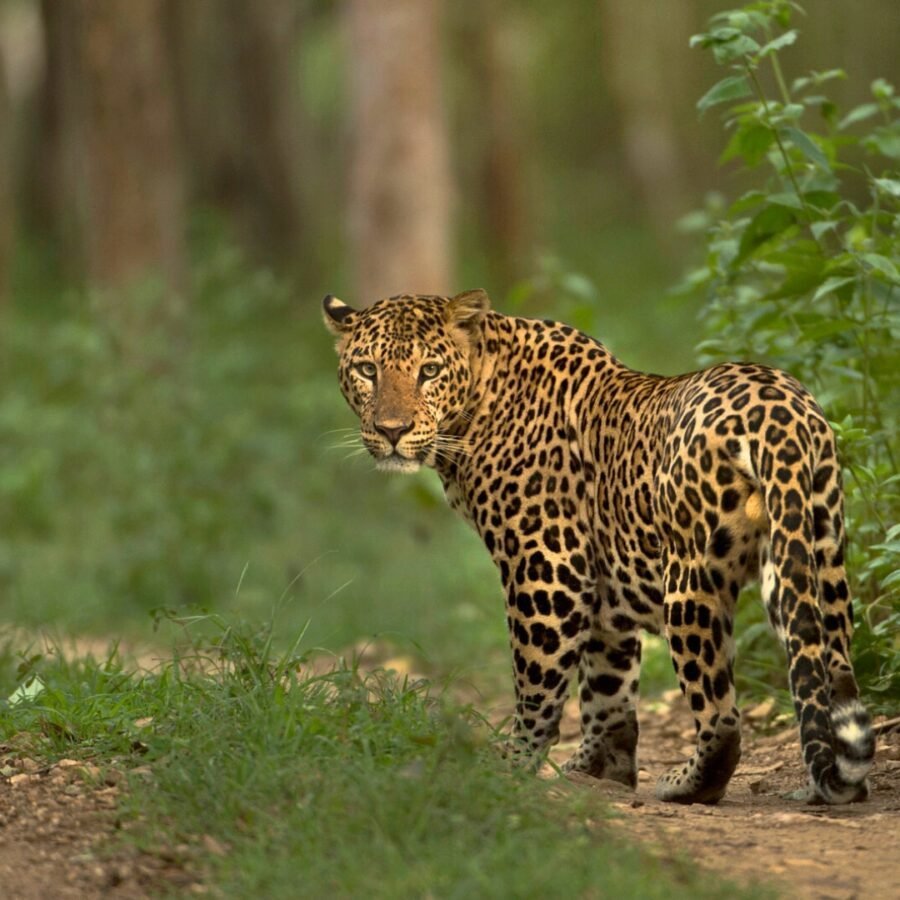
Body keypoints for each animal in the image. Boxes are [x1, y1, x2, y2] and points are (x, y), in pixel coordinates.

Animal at [322, 288, 874, 805]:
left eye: (429, 371)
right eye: (368, 370)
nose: (392, 431)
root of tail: (781, 413)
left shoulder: (548, 567)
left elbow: (538, 678)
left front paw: (513, 764)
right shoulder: (606, 582)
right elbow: (608, 682)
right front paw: (600, 769)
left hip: (691, 579)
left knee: (721, 714)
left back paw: (689, 784)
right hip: (814, 554)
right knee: (827, 666)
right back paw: (832, 781)